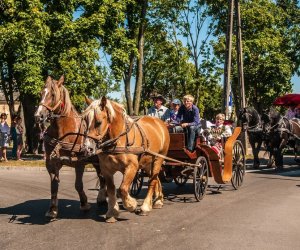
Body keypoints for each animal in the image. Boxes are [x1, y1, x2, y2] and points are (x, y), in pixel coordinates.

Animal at [33, 75, 104, 220]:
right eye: (41, 93)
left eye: (53, 94)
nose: (38, 116)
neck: (64, 132)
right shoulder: (51, 162)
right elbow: (54, 185)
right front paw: (53, 209)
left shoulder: (79, 163)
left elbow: (78, 185)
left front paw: (84, 203)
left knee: (102, 177)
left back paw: (102, 197)